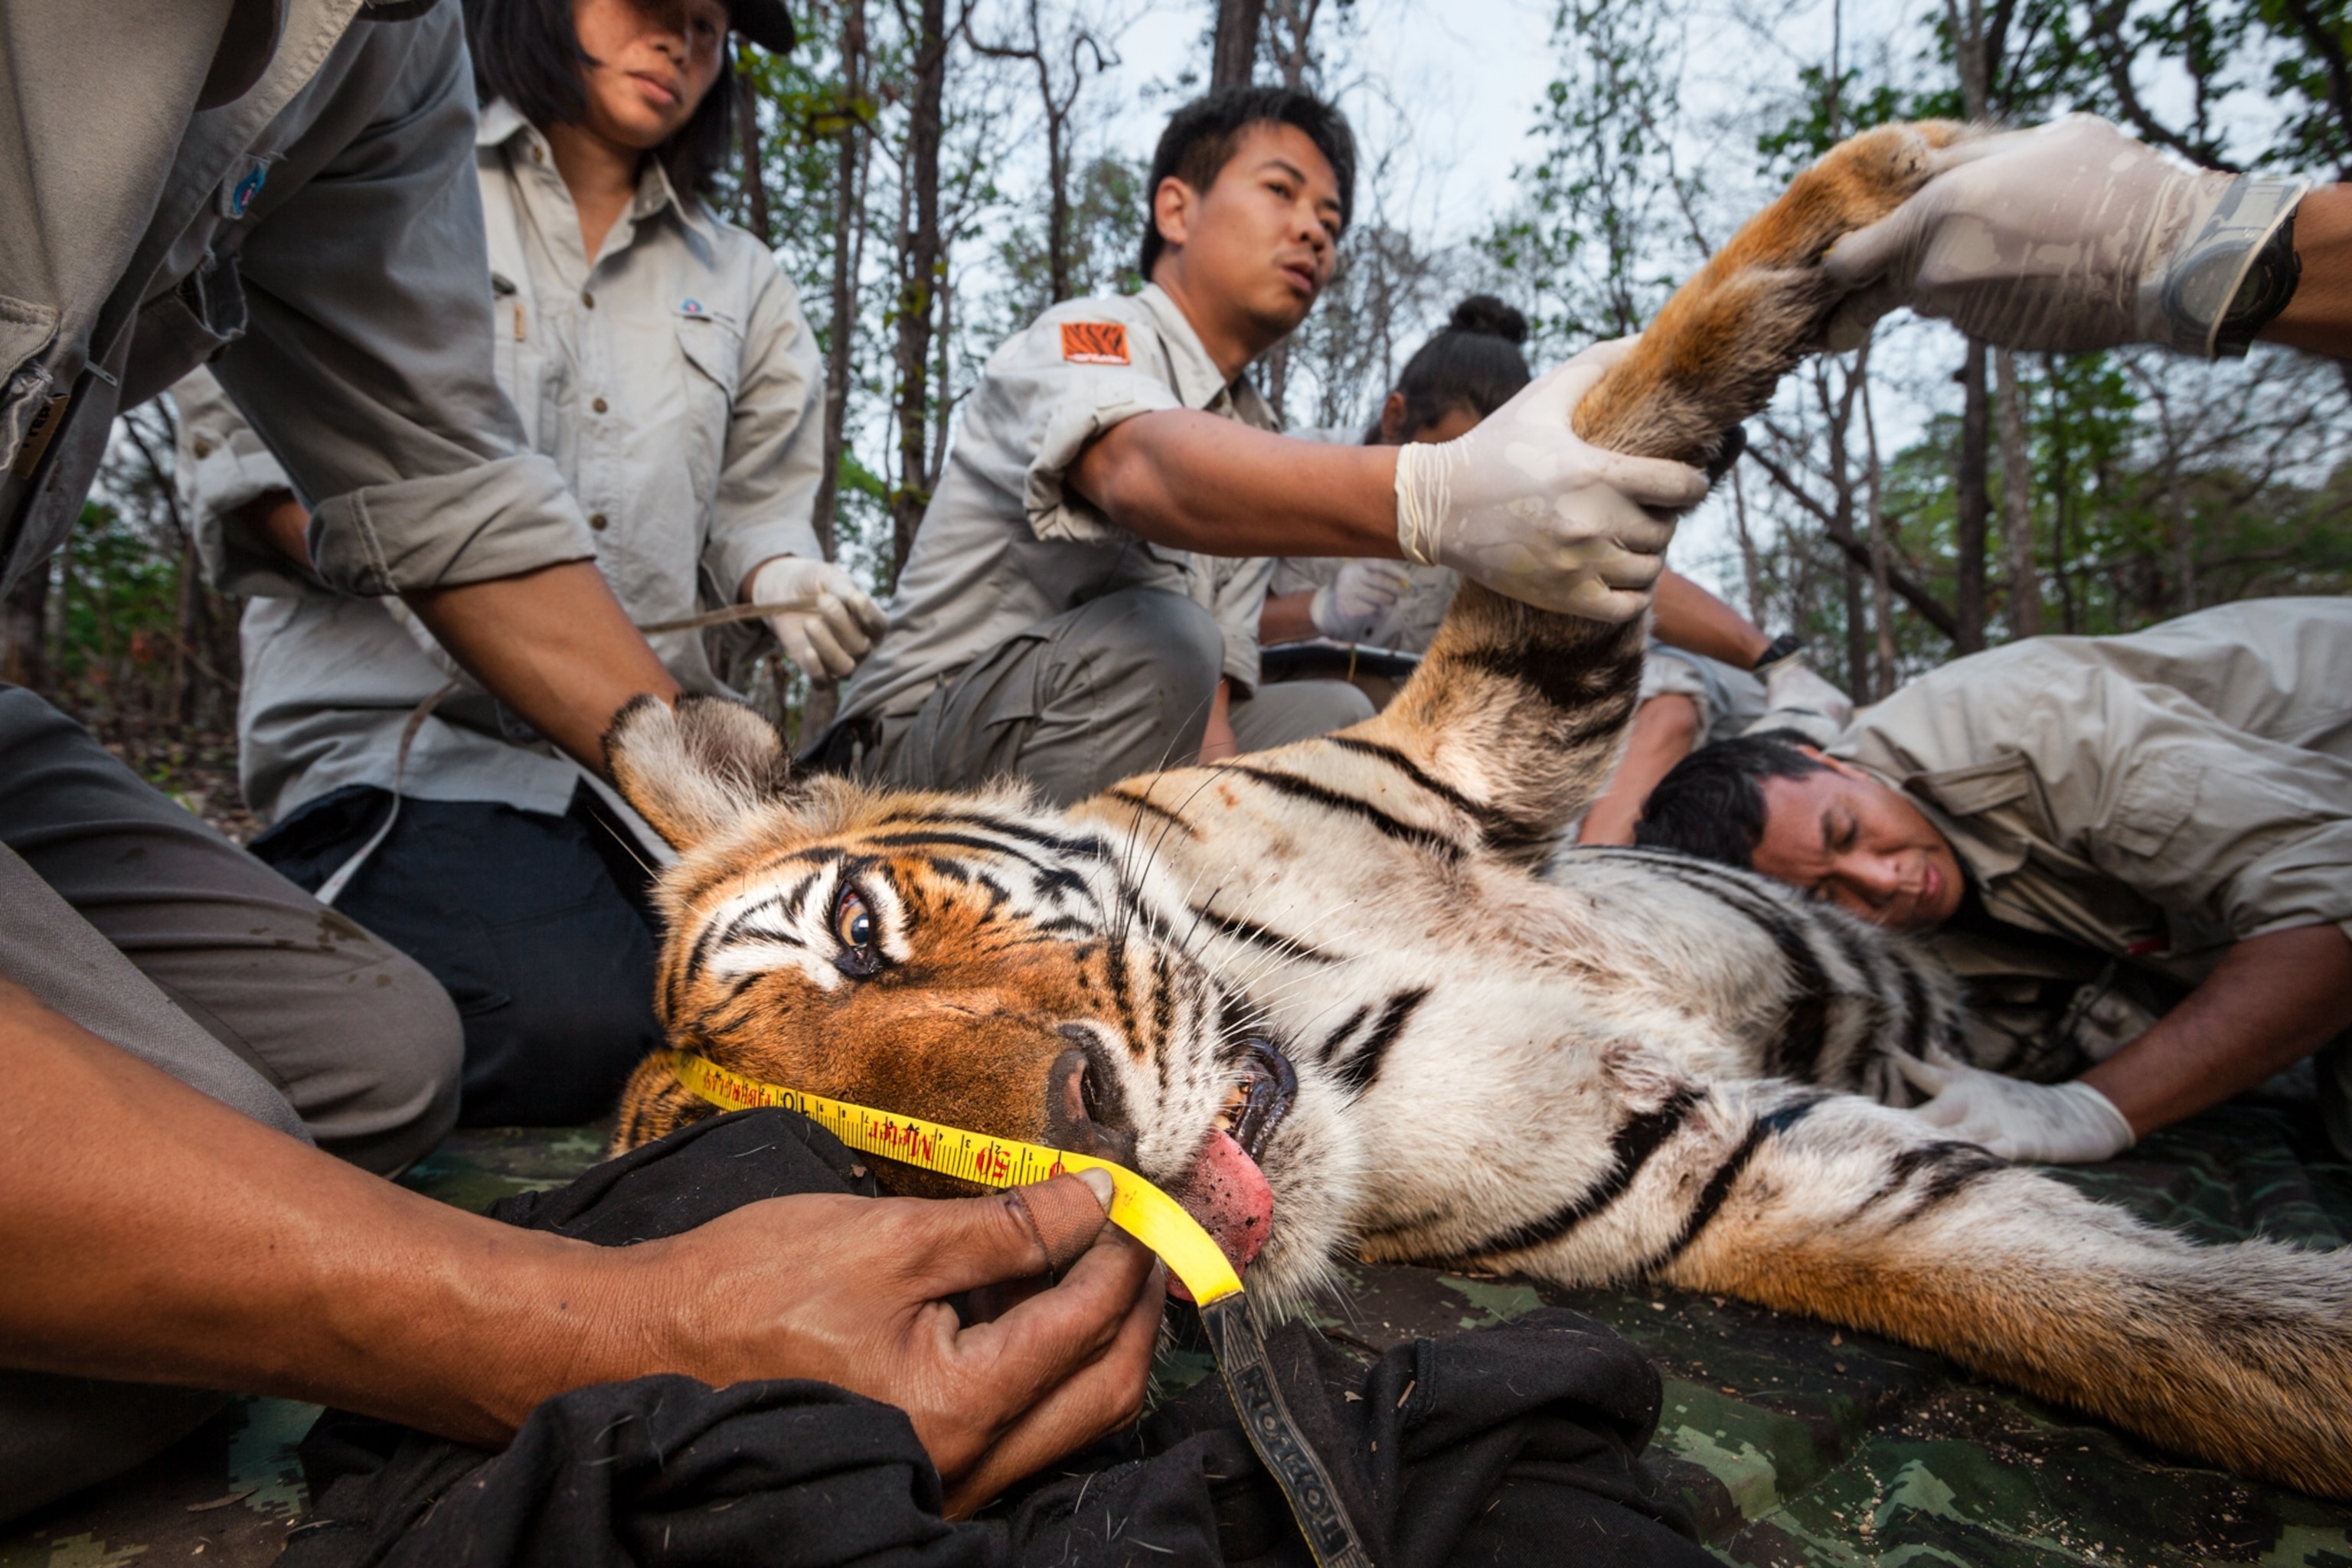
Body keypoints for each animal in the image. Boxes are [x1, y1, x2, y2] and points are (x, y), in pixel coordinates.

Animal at [599, 120, 2352, 1503]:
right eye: (861, 1175)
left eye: (858, 929)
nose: (1083, 1131)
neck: (1301, 999)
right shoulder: (1707, 1165)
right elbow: (2117, 1316)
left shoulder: (1484, 731)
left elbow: (1635, 393)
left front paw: (1930, 185)